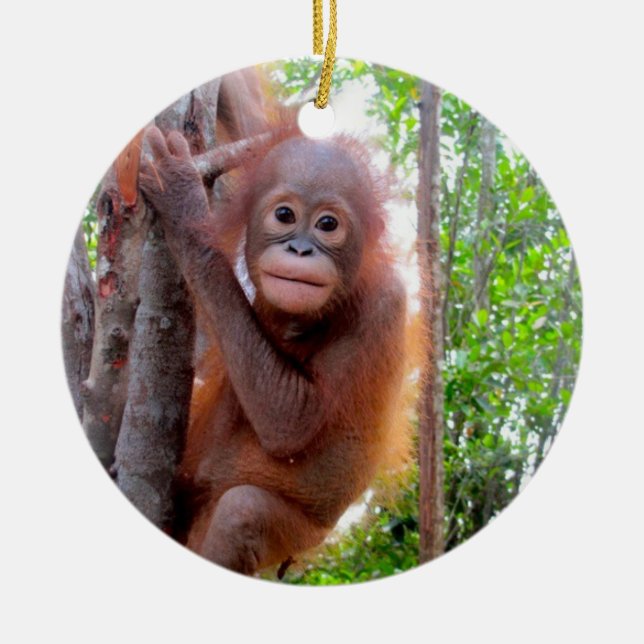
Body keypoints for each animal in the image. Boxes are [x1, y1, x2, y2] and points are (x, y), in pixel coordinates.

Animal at [139, 125, 409, 576]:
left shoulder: (383, 304)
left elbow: (290, 419)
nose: (300, 250)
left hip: (297, 538)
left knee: (243, 512)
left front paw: (182, 201)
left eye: (328, 224)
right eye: (284, 216)